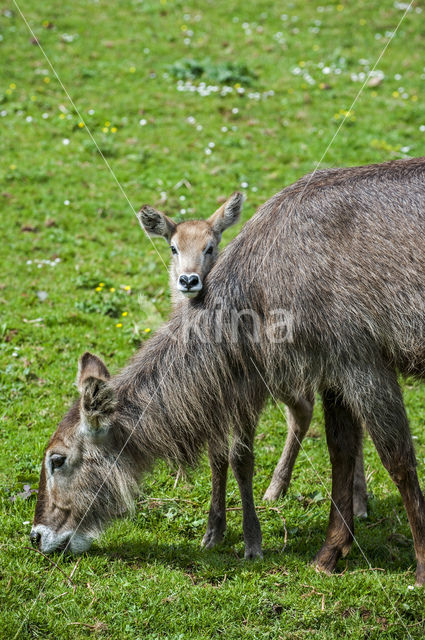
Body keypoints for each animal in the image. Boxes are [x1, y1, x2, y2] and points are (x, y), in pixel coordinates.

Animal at [31, 158, 424, 584]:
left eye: (56, 458)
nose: (37, 535)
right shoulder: (330, 368)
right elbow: (340, 453)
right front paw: (328, 554)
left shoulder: (361, 357)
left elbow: (399, 460)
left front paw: (419, 566)